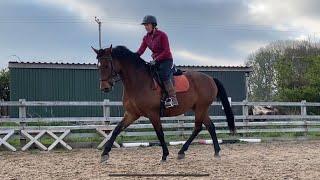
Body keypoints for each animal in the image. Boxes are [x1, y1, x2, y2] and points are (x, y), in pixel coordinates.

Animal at [91, 44, 236, 163]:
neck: (138, 81)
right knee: (209, 126)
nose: (104, 88)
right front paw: (104, 154)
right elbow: (116, 130)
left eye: (107, 65)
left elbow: (159, 133)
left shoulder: (153, 113)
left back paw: (183, 151)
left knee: (198, 127)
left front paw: (165, 155)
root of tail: (210, 78)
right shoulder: (132, 114)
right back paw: (214, 152)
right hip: (199, 108)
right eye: (98, 66)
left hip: (201, 107)